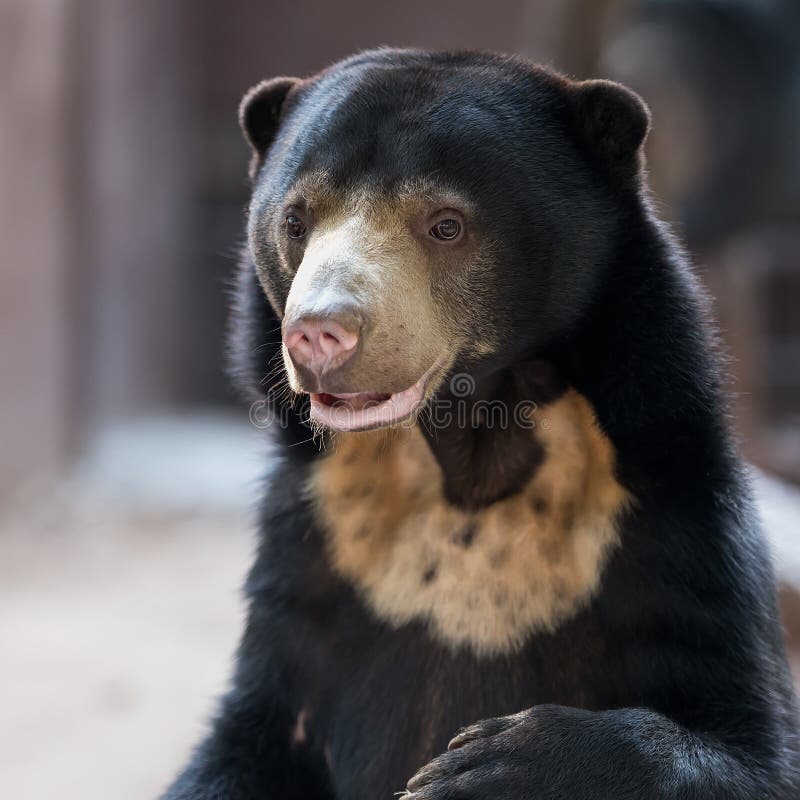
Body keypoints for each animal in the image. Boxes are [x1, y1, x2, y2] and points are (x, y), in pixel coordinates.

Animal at [161, 49, 800, 799]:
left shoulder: (676, 519)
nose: (319, 334)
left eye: (446, 224)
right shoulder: (314, 542)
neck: (472, 448)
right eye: (295, 221)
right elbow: (255, 734)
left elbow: (751, 745)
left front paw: (491, 765)